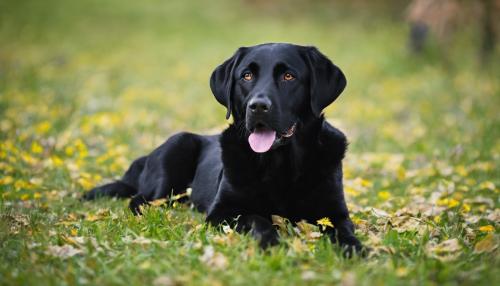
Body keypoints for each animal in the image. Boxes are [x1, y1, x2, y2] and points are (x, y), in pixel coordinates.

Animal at [82, 43, 364, 255]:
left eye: (288, 76)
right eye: (247, 76)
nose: (257, 106)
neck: (280, 163)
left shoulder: (335, 212)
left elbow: (345, 231)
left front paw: (356, 250)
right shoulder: (223, 211)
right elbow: (258, 219)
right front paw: (272, 243)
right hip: (177, 147)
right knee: (140, 199)